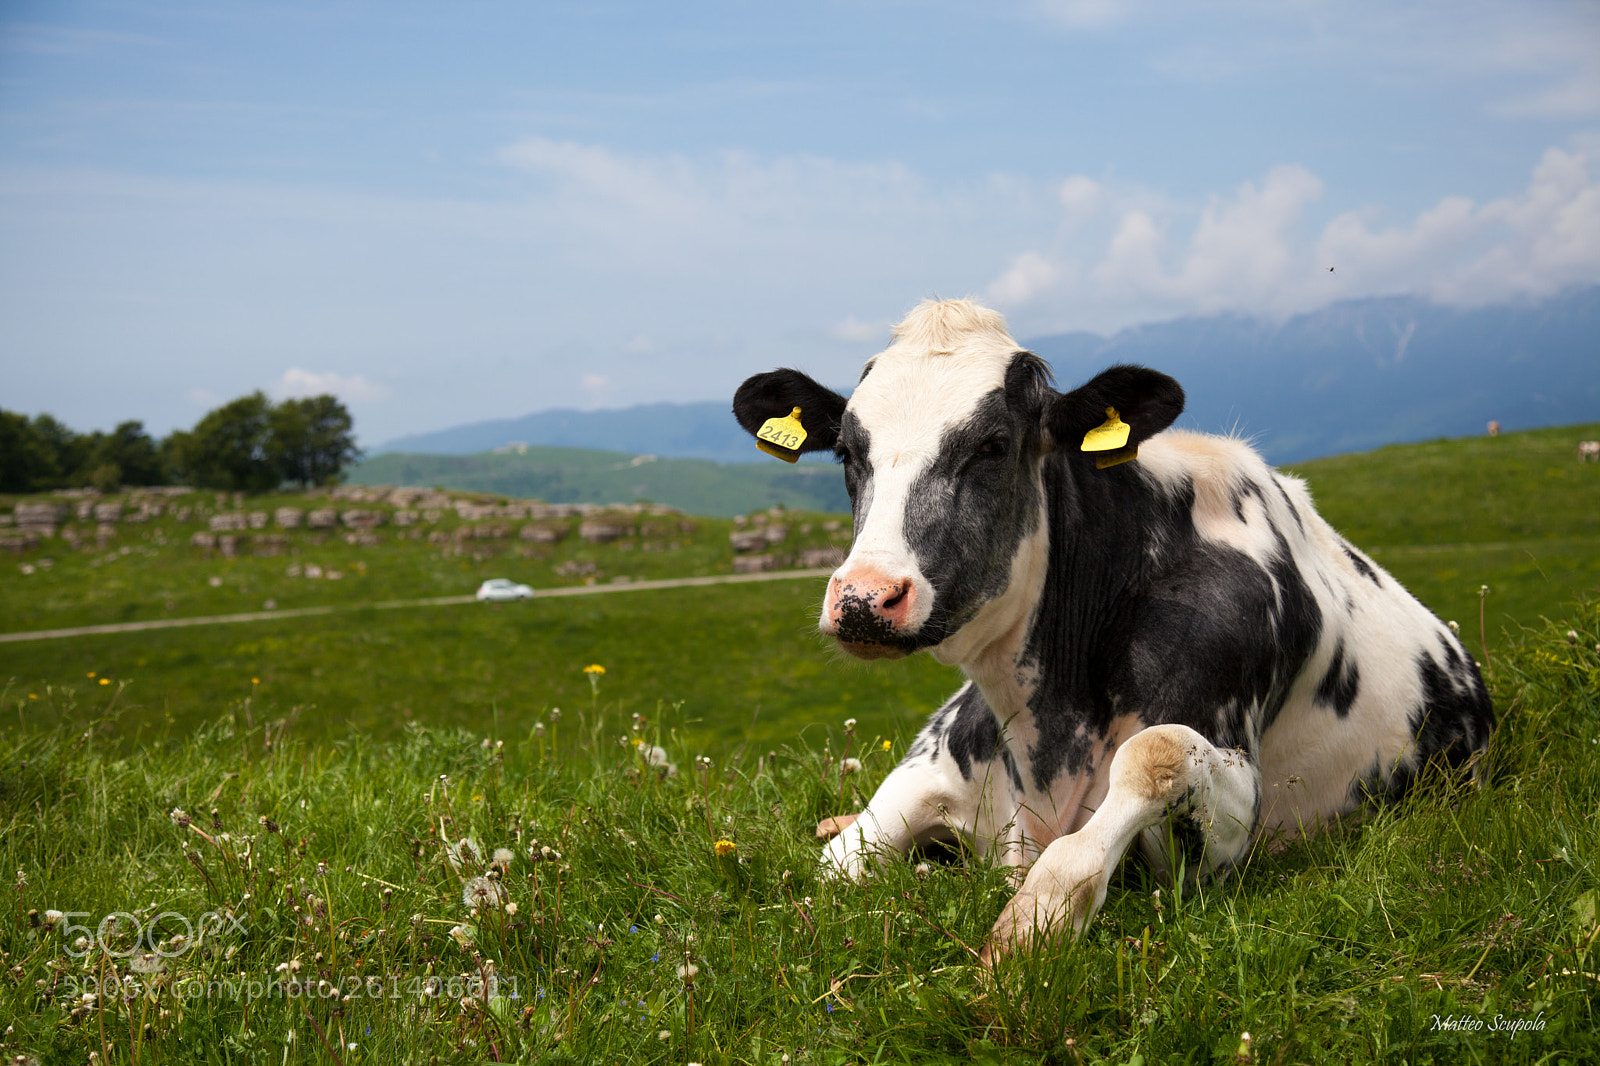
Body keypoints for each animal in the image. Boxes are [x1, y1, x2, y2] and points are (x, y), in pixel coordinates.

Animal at [733, 298, 1494, 961]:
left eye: (993, 445)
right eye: (846, 452)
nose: (865, 597)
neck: (1047, 733)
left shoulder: (1212, 846)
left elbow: (1153, 754)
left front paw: (1033, 926)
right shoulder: (933, 764)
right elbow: (835, 865)